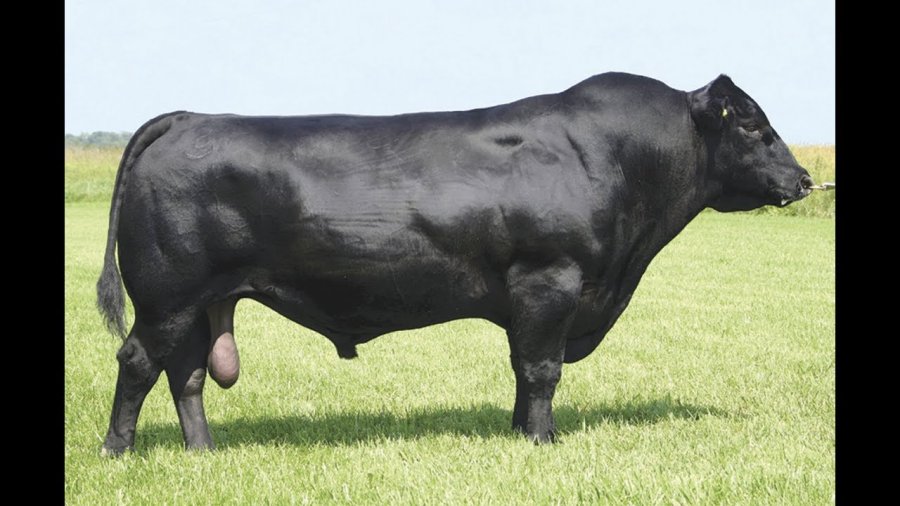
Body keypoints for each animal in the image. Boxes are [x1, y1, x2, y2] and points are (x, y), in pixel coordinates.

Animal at [97, 72, 815, 455]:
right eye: (753, 126)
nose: (806, 179)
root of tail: (188, 118)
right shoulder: (551, 277)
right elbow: (543, 368)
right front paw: (543, 442)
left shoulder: (533, 296)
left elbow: (523, 369)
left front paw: (520, 433)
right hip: (167, 294)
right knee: (138, 362)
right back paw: (117, 451)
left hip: (203, 301)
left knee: (187, 373)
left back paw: (202, 452)